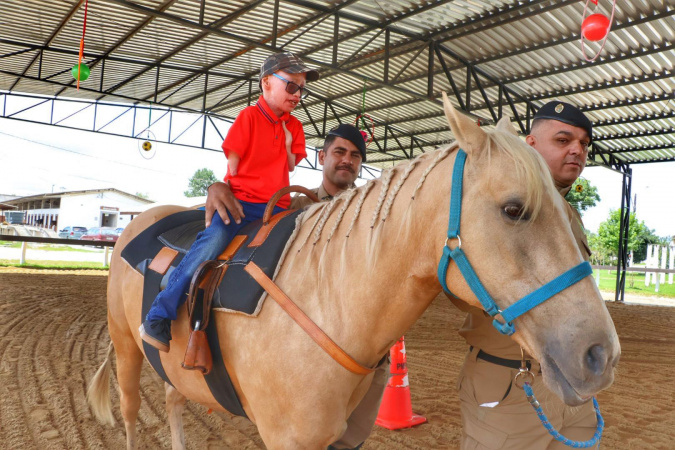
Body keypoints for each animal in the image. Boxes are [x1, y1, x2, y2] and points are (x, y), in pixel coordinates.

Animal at [87, 93, 620, 448]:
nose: (600, 355)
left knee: (174, 401)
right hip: (126, 350)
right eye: (514, 210)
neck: (325, 297)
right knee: (132, 412)